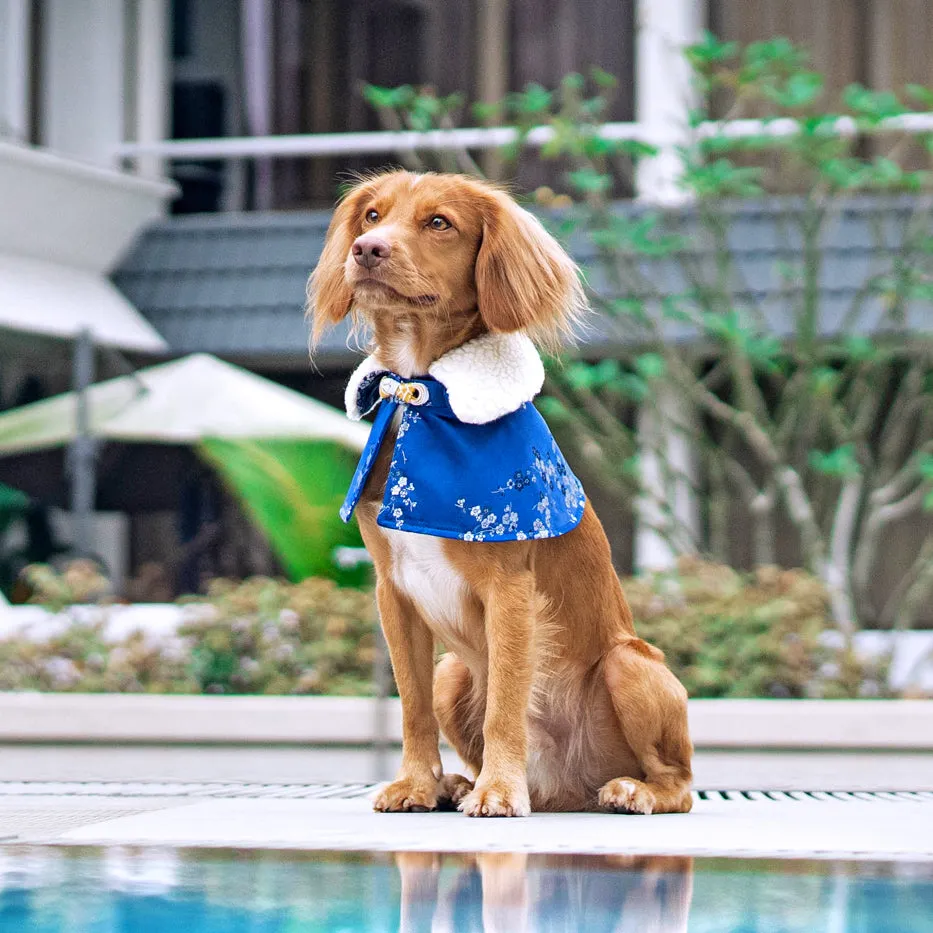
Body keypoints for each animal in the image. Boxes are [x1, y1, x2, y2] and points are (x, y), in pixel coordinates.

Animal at [308, 169, 692, 816]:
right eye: (372, 216)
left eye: (439, 222)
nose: (366, 250)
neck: (424, 396)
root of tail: (567, 787)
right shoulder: (393, 592)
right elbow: (412, 708)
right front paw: (418, 783)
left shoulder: (511, 590)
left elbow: (507, 705)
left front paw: (500, 790)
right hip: (453, 675)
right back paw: (456, 783)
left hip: (630, 664)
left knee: (681, 783)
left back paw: (631, 789)